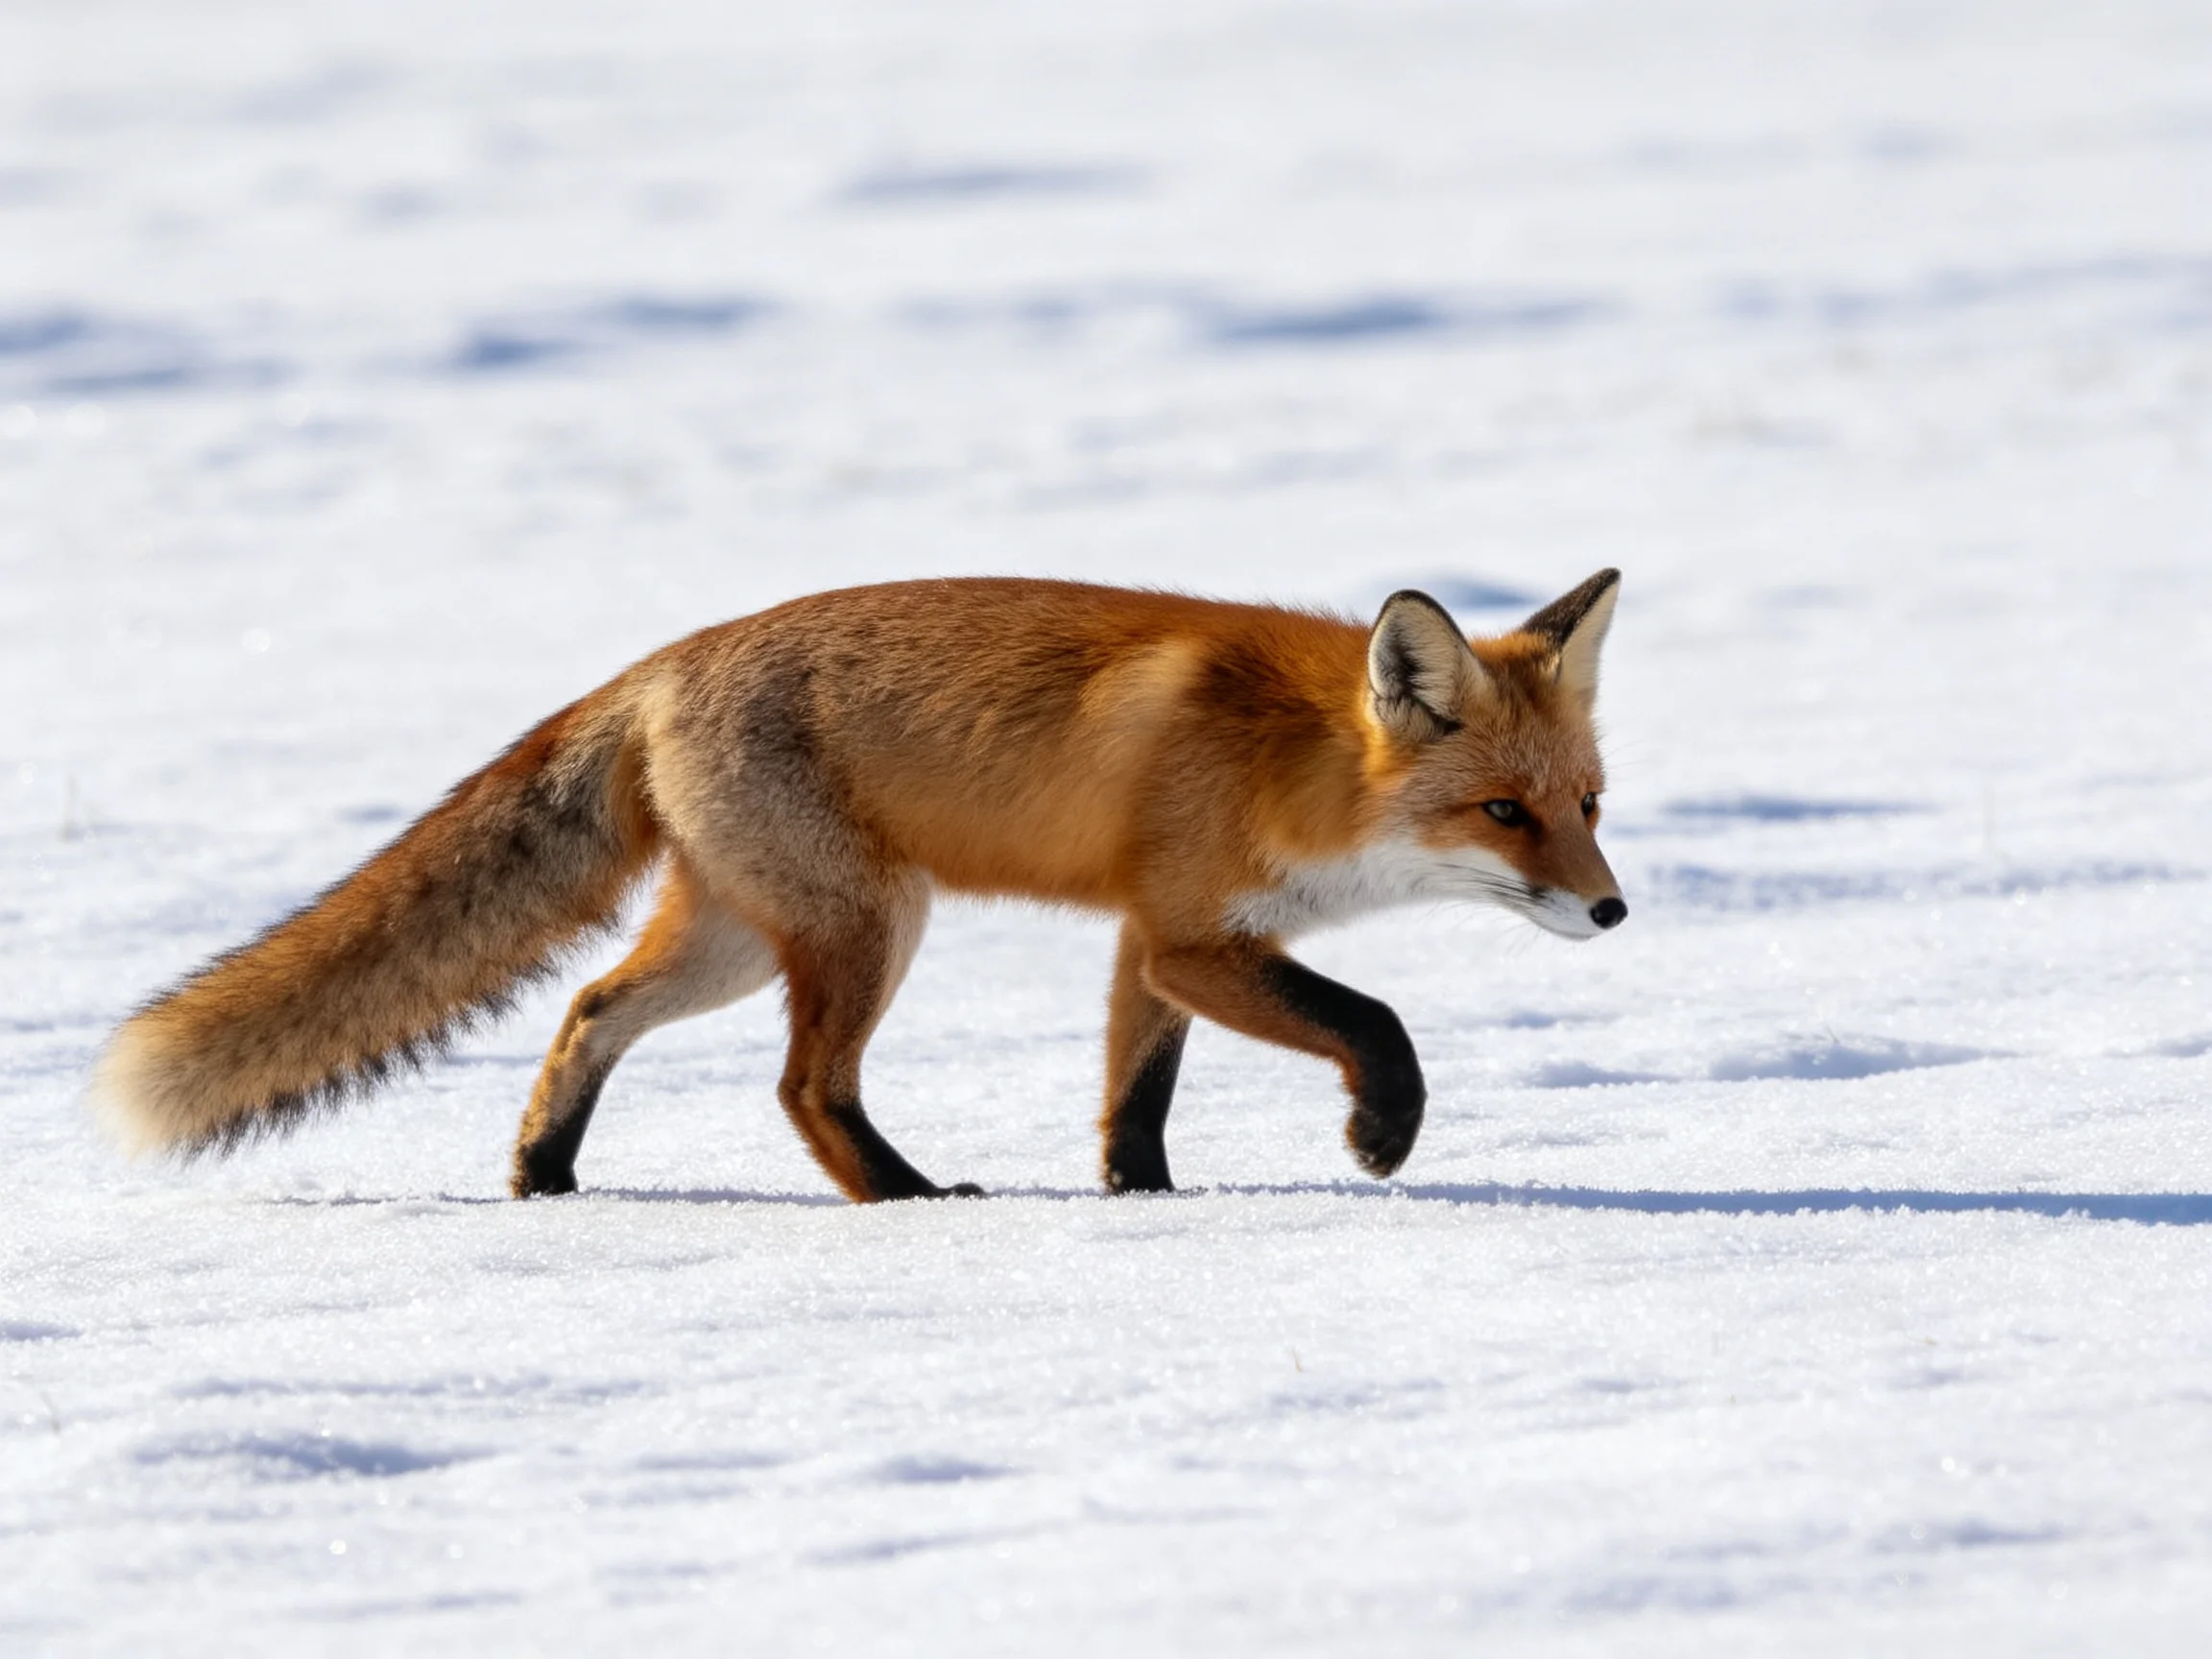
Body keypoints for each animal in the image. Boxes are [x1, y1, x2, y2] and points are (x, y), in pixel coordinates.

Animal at [93, 571, 1626, 1202]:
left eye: (1590, 806)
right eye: (1502, 813)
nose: (1616, 912)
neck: (1292, 764)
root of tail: (655, 664)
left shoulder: (1154, 942)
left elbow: (1133, 1101)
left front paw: (1145, 1206)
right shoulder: (1193, 937)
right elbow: (1378, 1023)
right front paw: (1380, 1138)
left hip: (736, 939)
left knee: (590, 1008)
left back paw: (544, 1172)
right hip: (864, 928)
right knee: (799, 1088)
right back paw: (904, 1201)